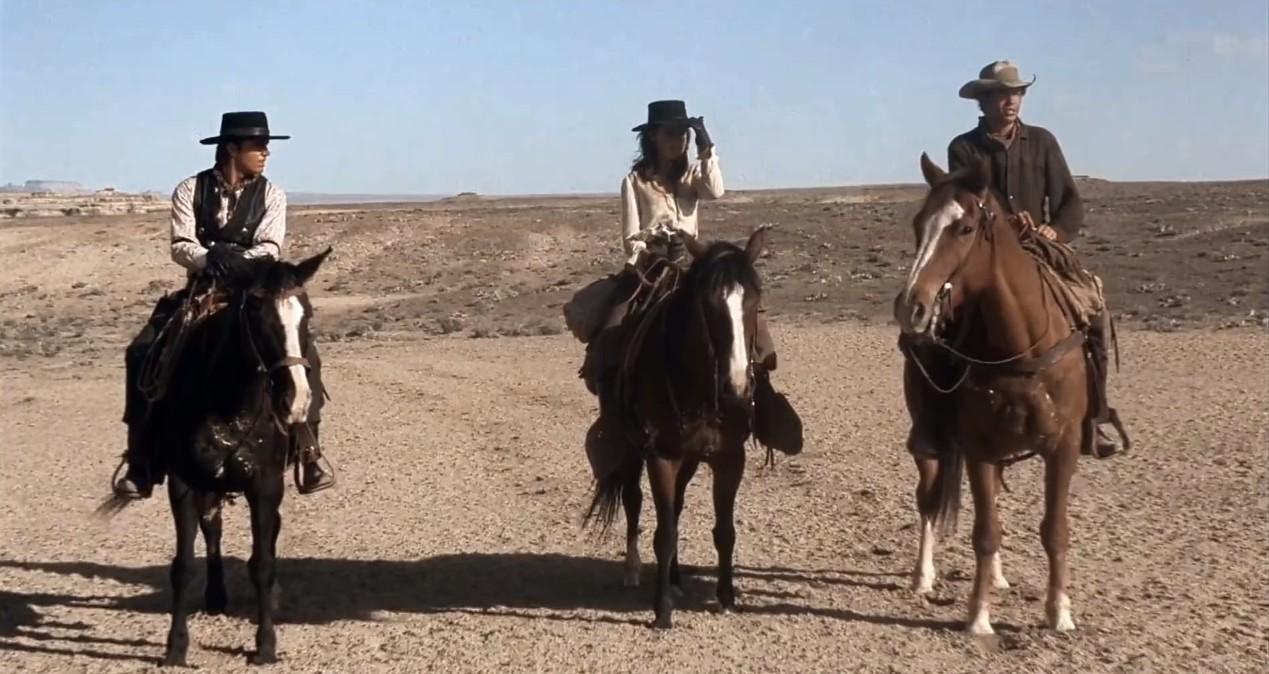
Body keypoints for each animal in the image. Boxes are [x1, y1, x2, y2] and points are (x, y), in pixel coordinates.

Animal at [100, 248, 332, 665]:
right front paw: (176, 646)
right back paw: (215, 597)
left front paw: (265, 645)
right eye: (256, 313)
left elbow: (262, 563)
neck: (229, 402)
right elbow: (183, 566)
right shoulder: (185, 484)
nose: (296, 400)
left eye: (307, 313)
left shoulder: (265, 484)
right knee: (213, 530)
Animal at [586, 228, 771, 632]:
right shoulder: (661, 456)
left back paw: (674, 578)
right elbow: (665, 533)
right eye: (708, 305)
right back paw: (633, 570)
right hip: (630, 448)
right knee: (634, 500)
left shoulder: (729, 458)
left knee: (679, 505)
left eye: (755, 297)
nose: (736, 390)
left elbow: (724, 531)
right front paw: (663, 611)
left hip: (690, 458)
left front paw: (726, 598)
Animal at [893, 154, 1091, 637]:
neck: (1022, 344)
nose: (911, 307)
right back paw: (923, 576)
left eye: (964, 229)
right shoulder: (978, 446)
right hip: (929, 440)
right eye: (918, 224)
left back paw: (999, 578)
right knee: (928, 498)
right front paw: (979, 617)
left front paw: (1060, 612)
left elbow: (1054, 529)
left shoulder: (1064, 446)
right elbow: (984, 531)